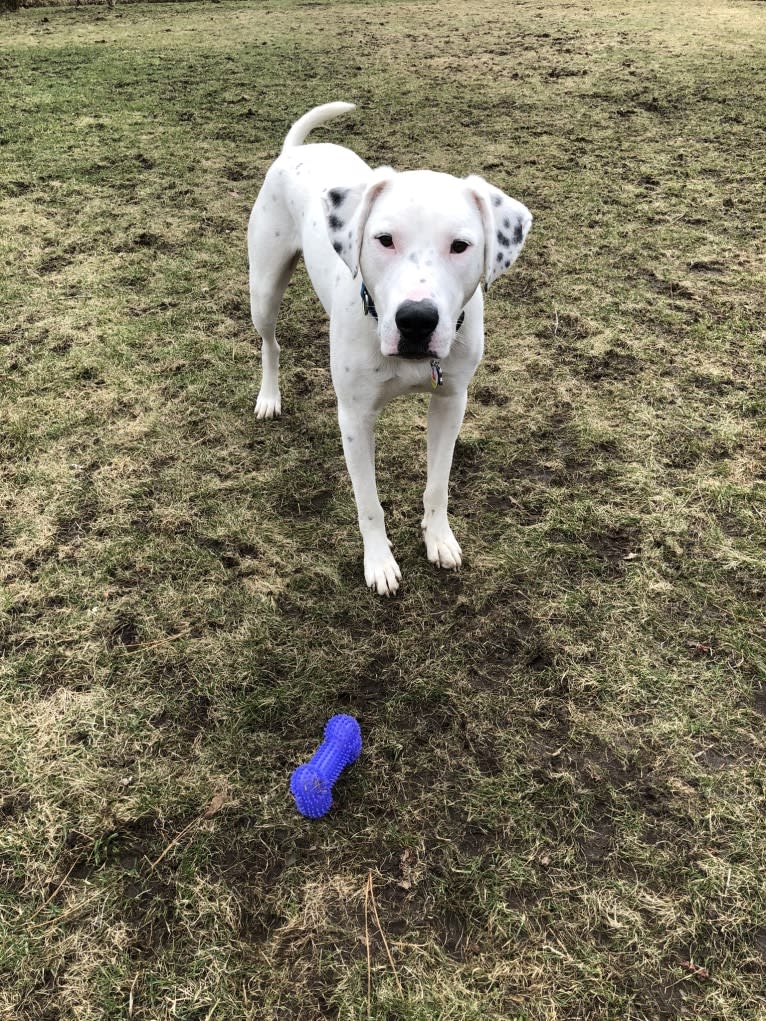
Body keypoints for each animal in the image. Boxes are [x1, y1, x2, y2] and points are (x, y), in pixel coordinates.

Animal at [249, 99, 531, 596]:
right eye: (384, 239)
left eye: (461, 246)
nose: (416, 320)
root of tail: (295, 150)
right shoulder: (355, 418)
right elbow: (369, 503)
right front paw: (379, 562)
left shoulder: (451, 402)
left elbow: (437, 483)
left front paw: (438, 537)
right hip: (263, 288)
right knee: (271, 342)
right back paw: (269, 396)